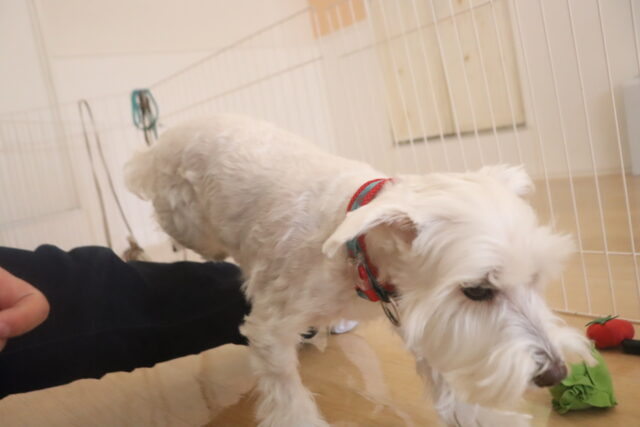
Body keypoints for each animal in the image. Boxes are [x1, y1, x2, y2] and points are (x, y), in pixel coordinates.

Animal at [125, 114, 594, 426]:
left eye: (536, 279)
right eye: (478, 290)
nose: (556, 373)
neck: (354, 249)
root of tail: (170, 135)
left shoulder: (419, 313)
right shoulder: (270, 331)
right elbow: (288, 394)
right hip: (187, 222)